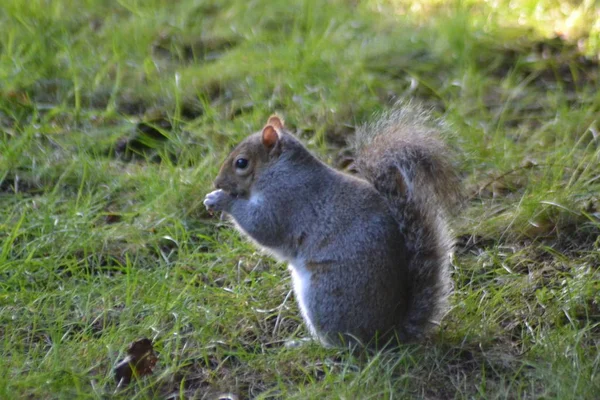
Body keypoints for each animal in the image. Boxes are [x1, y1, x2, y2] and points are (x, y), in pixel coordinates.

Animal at [204, 104, 462, 348]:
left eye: (241, 163)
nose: (217, 182)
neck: (279, 170)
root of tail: (386, 335)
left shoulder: (285, 200)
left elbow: (262, 225)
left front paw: (220, 199)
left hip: (324, 295)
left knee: (344, 344)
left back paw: (310, 345)